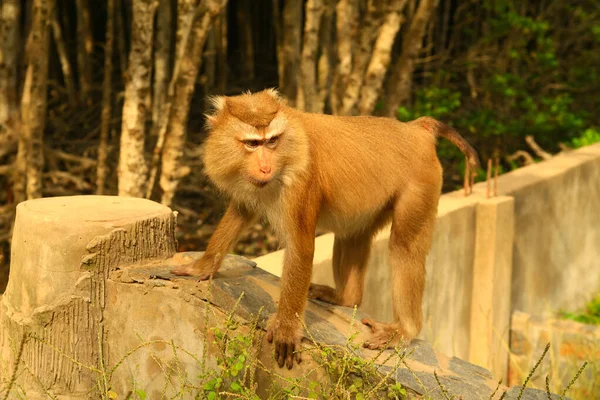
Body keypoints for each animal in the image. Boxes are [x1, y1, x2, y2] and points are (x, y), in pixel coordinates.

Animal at [171, 89, 480, 370]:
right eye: (252, 143)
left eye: (272, 141)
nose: (266, 167)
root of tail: (415, 128)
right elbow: (241, 212)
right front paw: (202, 266)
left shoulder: (300, 183)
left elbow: (300, 247)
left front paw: (287, 327)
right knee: (353, 233)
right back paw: (346, 298)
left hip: (421, 183)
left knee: (404, 246)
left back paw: (405, 329)